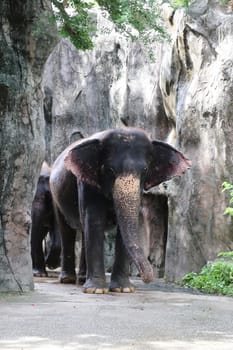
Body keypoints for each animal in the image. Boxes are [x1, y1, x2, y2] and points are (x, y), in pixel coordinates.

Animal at [50, 127, 190, 294]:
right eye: (110, 169)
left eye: (145, 170)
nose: (147, 278)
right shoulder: (86, 183)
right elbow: (94, 221)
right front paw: (97, 290)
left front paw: (124, 289)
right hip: (56, 196)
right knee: (67, 230)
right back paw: (68, 279)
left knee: (83, 231)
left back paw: (82, 279)